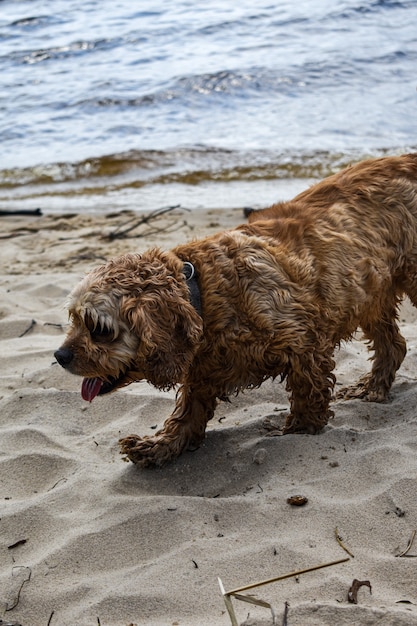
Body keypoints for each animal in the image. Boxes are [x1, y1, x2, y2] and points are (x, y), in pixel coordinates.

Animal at [53, 152, 416, 464]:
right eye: (73, 320)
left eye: (100, 329)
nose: (59, 356)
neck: (204, 291)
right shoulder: (200, 376)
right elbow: (186, 415)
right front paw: (159, 446)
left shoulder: (305, 343)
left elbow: (308, 392)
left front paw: (300, 429)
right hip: (372, 293)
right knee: (394, 345)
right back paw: (372, 387)